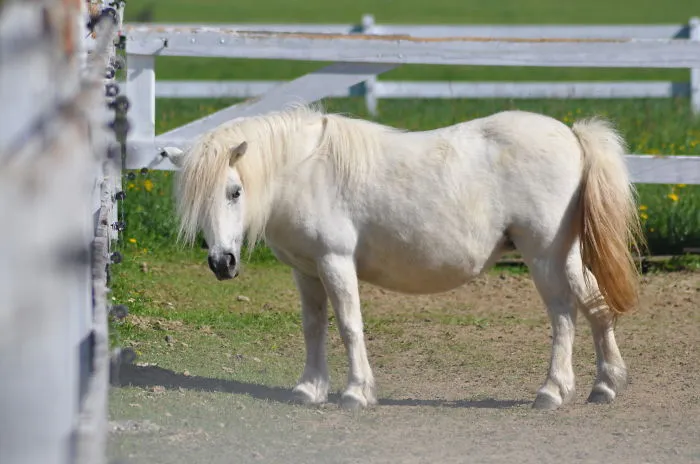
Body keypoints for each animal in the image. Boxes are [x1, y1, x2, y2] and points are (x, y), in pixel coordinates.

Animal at [164, 104, 643, 410]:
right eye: (195, 201)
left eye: (234, 191)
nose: (222, 263)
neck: (303, 171)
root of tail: (572, 136)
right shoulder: (306, 271)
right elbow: (314, 328)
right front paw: (310, 389)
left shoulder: (335, 262)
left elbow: (349, 326)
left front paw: (356, 393)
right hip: (567, 255)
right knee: (596, 307)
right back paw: (605, 385)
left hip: (543, 256)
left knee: (564, 315)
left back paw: (552, 391)